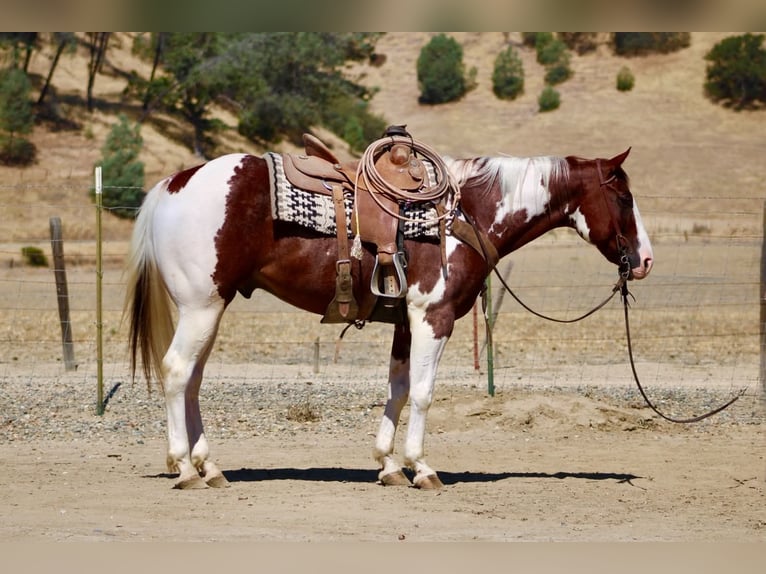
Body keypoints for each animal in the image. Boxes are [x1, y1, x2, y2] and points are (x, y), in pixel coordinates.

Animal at [125, 145, 653, 490]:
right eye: (624, 199)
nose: (645, 260)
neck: (465, 215)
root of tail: (173, 184)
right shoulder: (434, 317)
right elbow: (422, 393)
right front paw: (422, 468)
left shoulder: (404, 321)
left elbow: (397, 389)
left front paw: (389, 465)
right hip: (201, 307)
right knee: (177, 372)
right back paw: (186, 468)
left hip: (211, 308)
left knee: (192, 380)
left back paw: (210, 467)